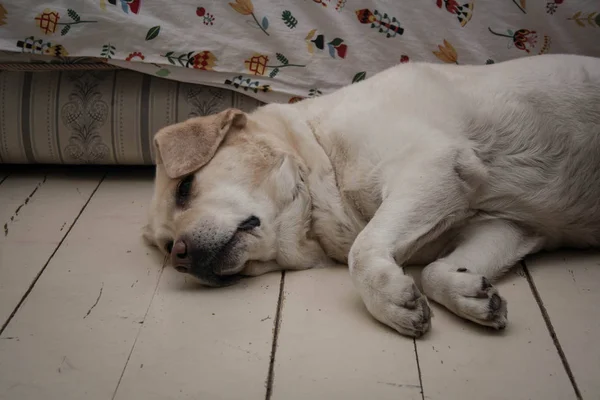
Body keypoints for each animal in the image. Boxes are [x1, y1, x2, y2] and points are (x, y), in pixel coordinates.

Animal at [144, 54, 600, 338]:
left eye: (185, 187)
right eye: (166, 245)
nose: (179, 256)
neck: (323, 155)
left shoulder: (432, 162)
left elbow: (361, 252)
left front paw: (389, 299)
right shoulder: (504, 225)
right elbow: (433, 272)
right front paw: (469, 293)